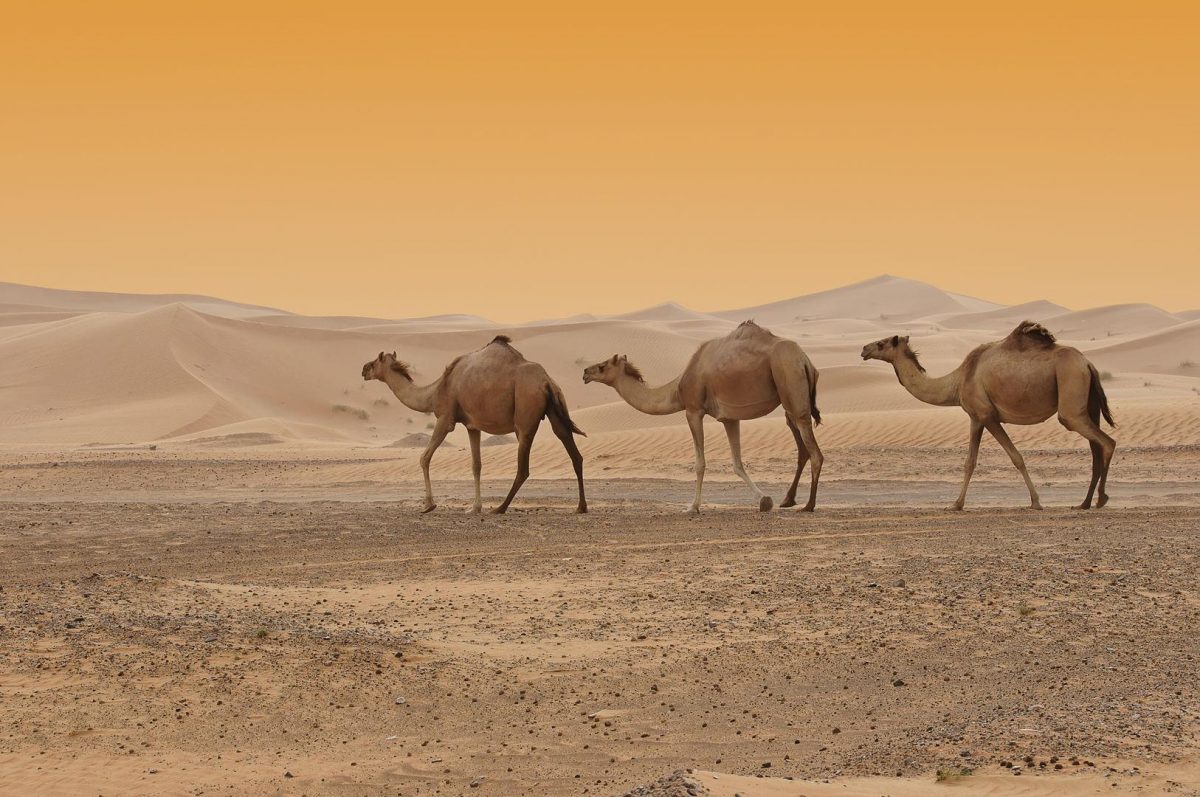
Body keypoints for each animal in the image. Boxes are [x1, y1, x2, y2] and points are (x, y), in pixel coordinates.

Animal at [362, 336, 586, 514]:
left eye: (374, 362)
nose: (363, 369)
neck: (435, 391)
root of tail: (546, 381)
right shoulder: (472, 426)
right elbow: (476, 465)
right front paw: (475, 507)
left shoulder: (445, 418)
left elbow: (424, 458)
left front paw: (428, 505)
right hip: (555, 407)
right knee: (572, 450)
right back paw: (581, 507)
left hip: (525, 412)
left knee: (524, 467)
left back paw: (500, 508)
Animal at [583, 320, 823, 513]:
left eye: (602, 366)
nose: (585, 372)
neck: (677, 389)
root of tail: (805, 360)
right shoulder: (729, 418)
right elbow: (737, 462)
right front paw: (764, 500)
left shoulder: (693, 410)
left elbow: (700, 463)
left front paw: (693, 507)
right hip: (789, 398)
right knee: (802, 447)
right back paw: (789, 500)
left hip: (790, 382)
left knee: (814, 452)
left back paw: (809, 505)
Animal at [861, 321, 1115, 510]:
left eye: (881, 343)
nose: (863, 349)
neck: (956, 382)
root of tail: (1088, 363)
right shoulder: (975, 418)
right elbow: (970, 462)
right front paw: (956, 504)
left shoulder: (987, 415)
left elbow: (1016, 457)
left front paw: (1035, 502)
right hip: (1086, 403)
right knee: (1096, 446)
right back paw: (1085, 503)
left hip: (1070, 394)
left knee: (1106, 442)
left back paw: (1101, 499)